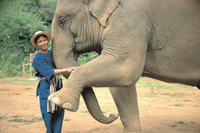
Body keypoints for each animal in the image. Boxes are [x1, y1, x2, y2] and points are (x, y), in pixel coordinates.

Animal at [48, 0, 200, 132]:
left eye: (63, 20)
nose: (112, 115)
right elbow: (121, 86)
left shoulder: (131, 18)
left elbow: (125, 67)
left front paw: (58, 101)